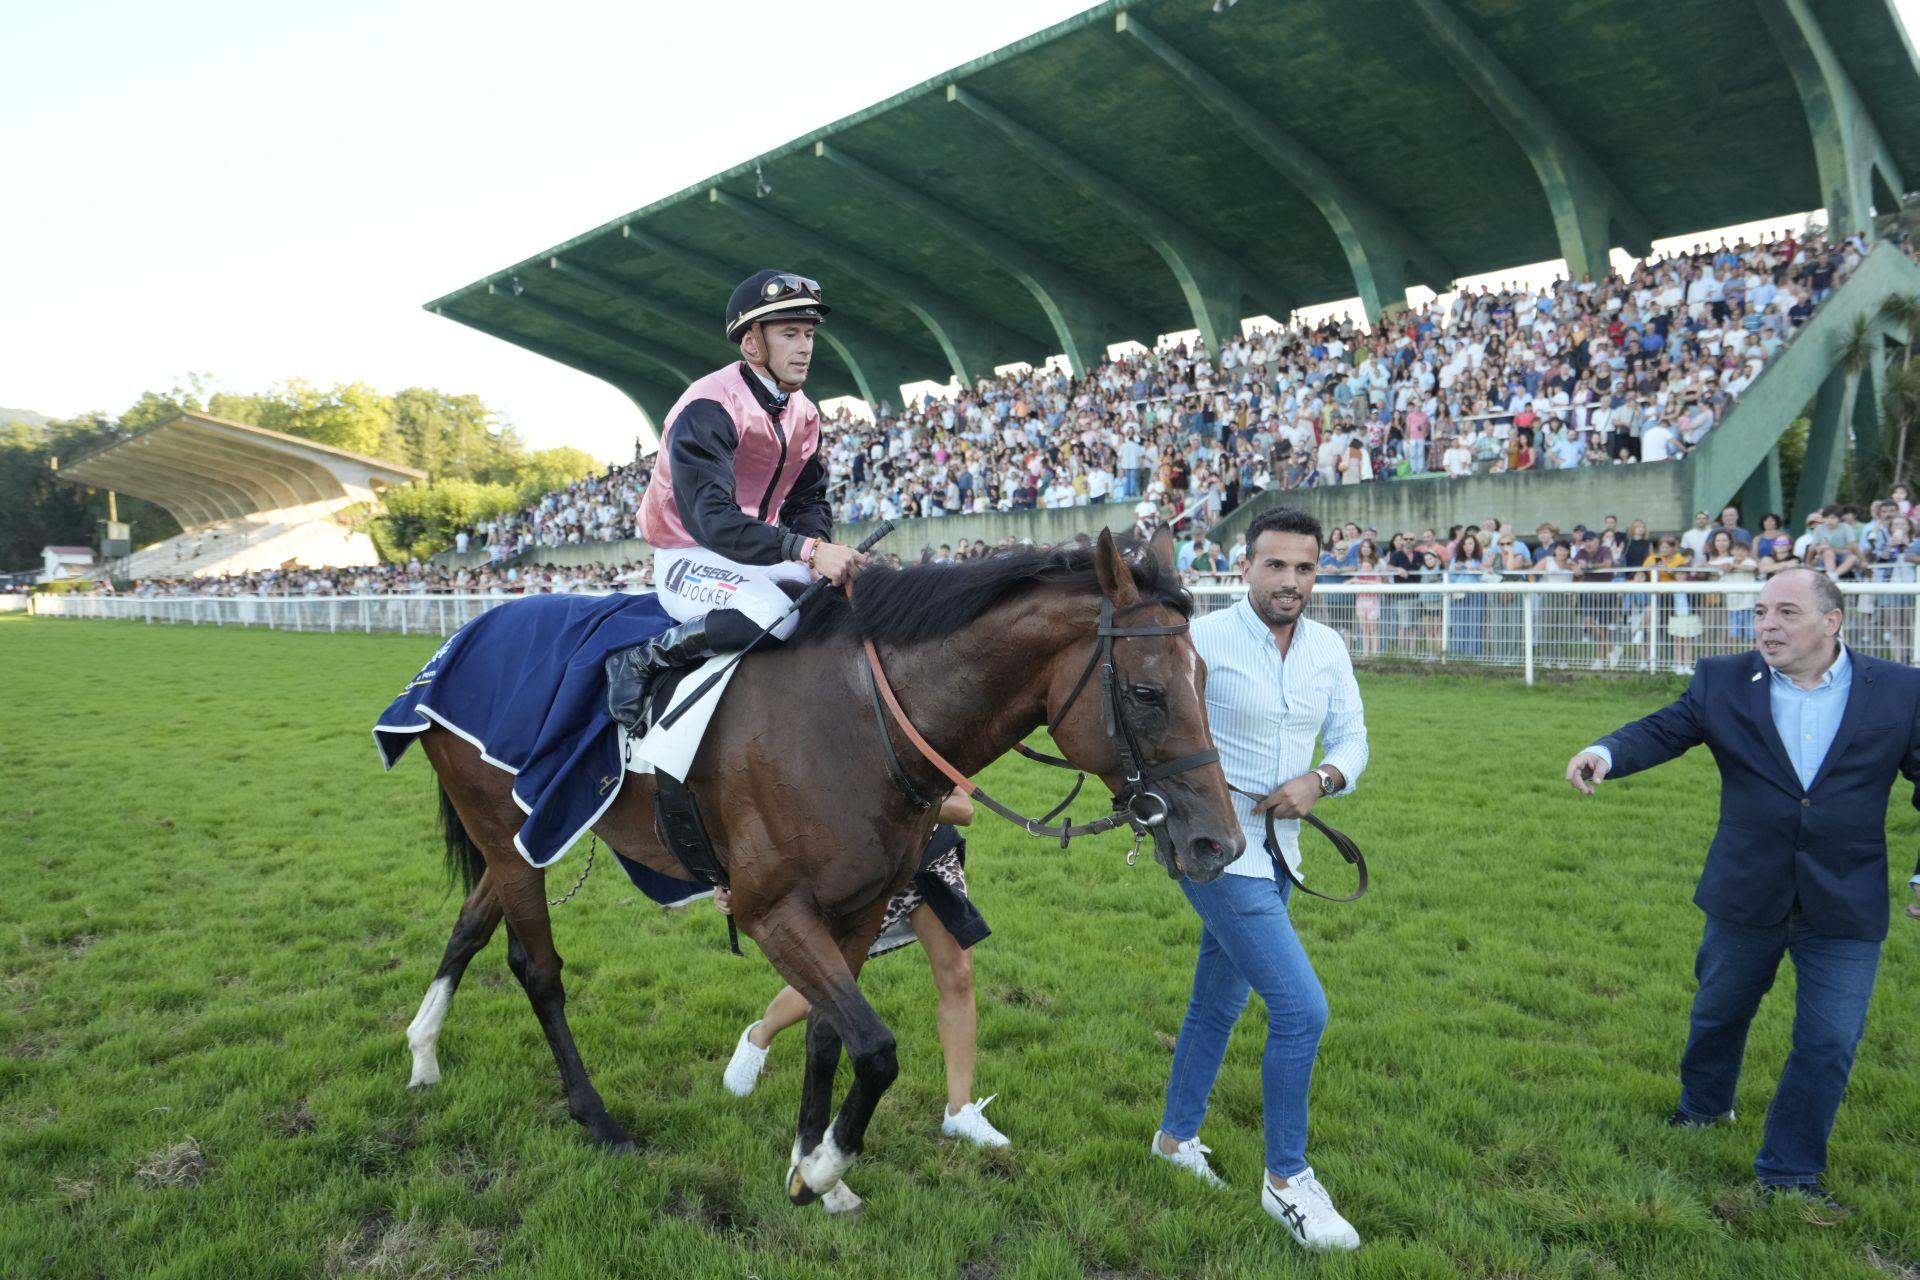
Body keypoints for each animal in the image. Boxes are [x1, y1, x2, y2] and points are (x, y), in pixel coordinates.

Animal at [405, 525, 1244, 1220]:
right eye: (1147, 692)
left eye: (1207, 680)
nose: (1221, 844)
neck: (861, 719)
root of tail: (462, 639)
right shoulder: (770, 910)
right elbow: (873, 1047)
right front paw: (823, 1167)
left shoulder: (860, 908)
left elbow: (826, 1036)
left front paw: (812, 1163)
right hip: (510, 830)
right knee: (538, 967)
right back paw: (595, 1115)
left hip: (524, 831)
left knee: (472, 921)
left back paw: (422, 1051)